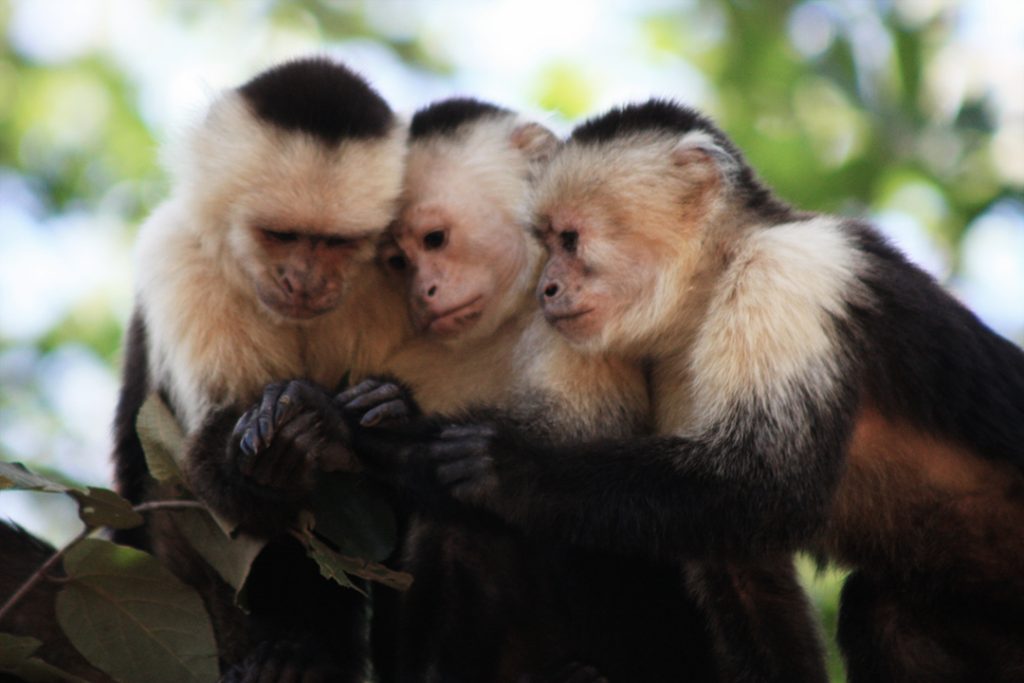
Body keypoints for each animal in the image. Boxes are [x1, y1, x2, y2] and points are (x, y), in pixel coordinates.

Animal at [113, 58, 411, 683]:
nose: (303, 281)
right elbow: (208, 459)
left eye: (336, 242)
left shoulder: (398, 282)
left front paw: (380, 413)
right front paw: (279, 446)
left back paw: (307, 649)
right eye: (280, 235)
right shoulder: (178, 257)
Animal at [266, 98, 831, 679]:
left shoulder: (587, 323)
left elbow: (581, 452)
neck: (501, 321)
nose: (424, 291)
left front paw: (378, 417)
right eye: (398, 262)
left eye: (434, 240)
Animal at [348, 98, 1024, 679]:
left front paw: (488, 462)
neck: (718, 275)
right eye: (545, 243)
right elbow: (738, 559)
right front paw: (388, 424)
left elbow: (764, 485)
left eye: (569, 240)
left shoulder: (789, 275)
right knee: (887, 620)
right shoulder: (675, 366)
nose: (546, 288)